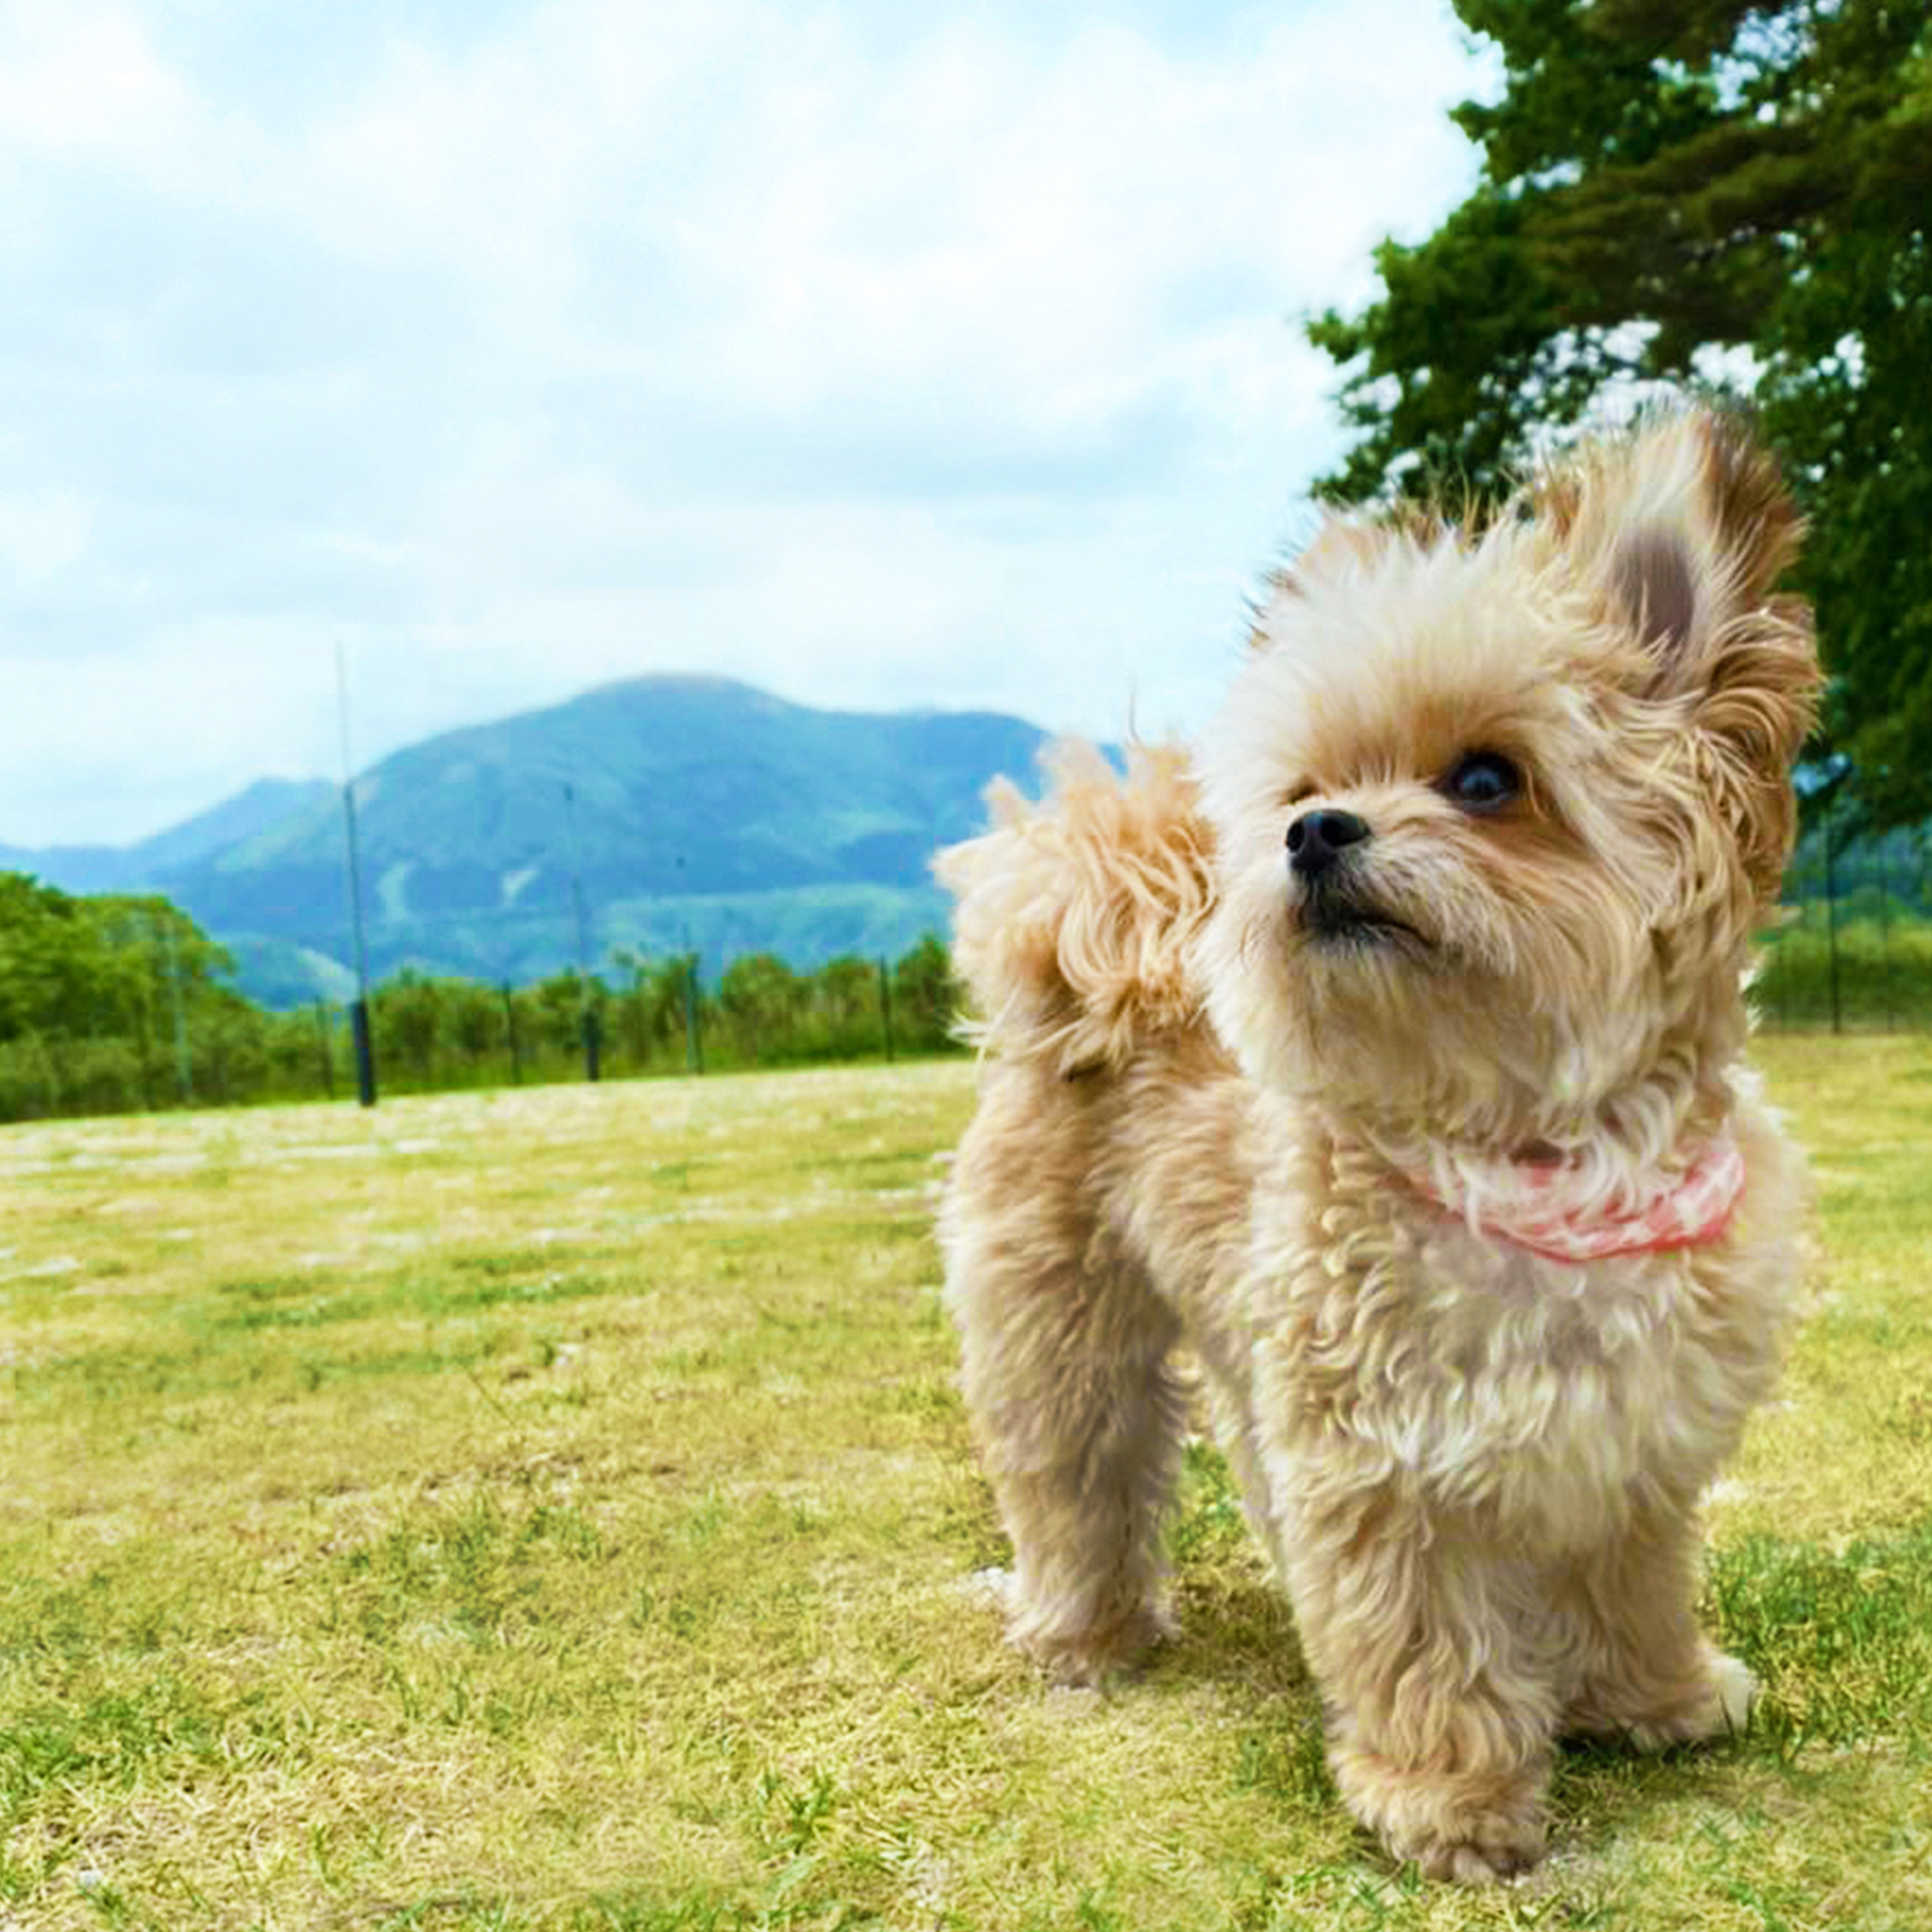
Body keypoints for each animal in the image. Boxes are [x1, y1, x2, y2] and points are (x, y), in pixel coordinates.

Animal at [939, 404, 1824, 1870]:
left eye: (1486, 778)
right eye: (1308, 783)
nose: (1310, 830)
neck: (1529, 1144)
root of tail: (1103, 945)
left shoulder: (1634, 1442)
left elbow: (1631, 1576)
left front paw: (1655, 1694)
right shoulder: (1383, 1463)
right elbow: (1420, 1636)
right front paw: (1449, 1797)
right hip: (1061, 1332)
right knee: (1073, 1477)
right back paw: (1082, 1634)